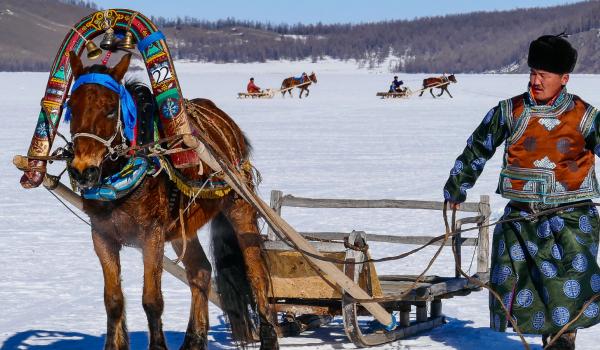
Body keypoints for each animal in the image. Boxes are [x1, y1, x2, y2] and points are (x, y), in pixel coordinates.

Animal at [65, 51, 282, 350]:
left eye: (110, 109)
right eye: (71, 108)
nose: (82, 170)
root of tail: (223, 119)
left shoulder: (152, 235)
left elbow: (152, 300)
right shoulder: (101, 235)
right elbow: (113, 300)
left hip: (239, 206)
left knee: (256, 272)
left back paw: (268, 337)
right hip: (183, 226)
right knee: (201, 271)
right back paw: (194, 341)